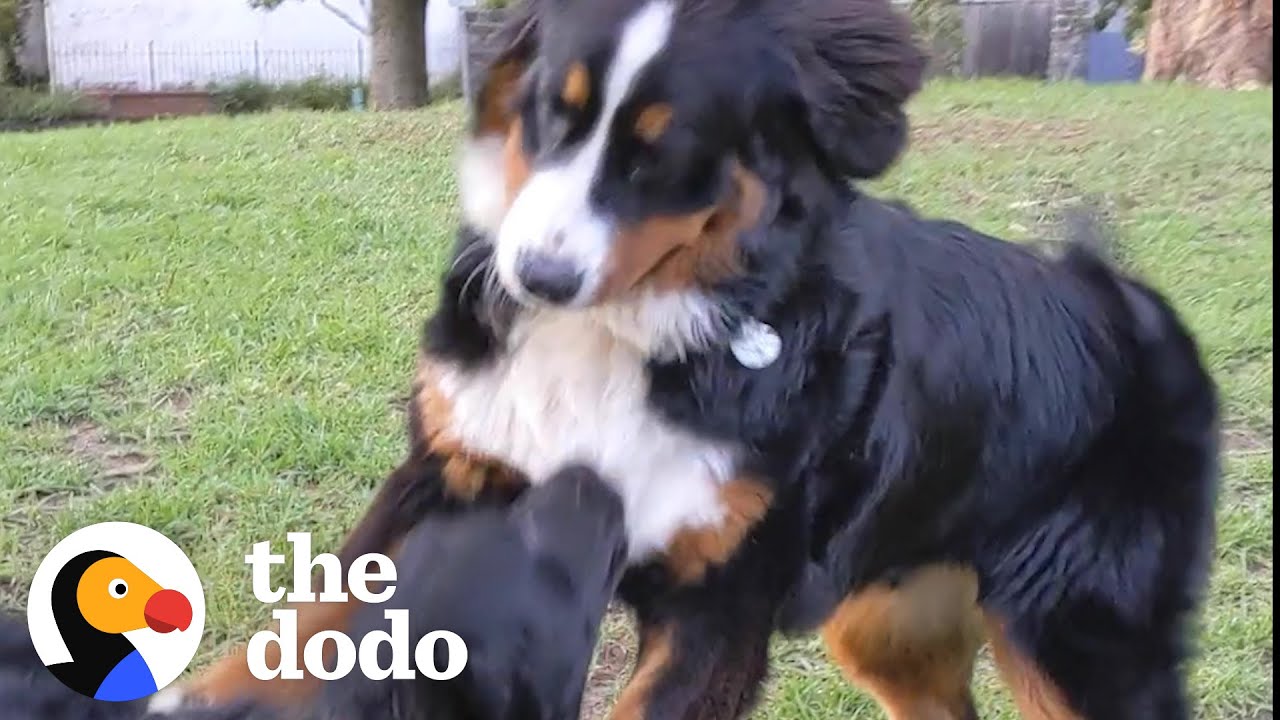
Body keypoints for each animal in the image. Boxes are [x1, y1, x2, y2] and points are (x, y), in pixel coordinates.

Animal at [175, 0, 1213, 712]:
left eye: (662, 153)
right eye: (551, 112)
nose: (536, 278)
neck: (616, 339)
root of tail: (1122, 296)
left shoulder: (718, 603)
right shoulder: (453, 463)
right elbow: (318, 616)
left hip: (1079, 641)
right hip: (890, 624)